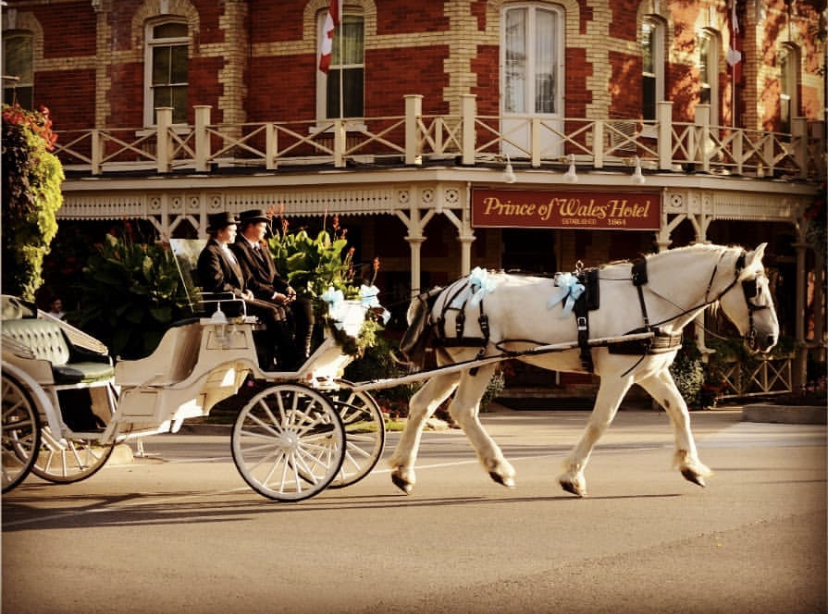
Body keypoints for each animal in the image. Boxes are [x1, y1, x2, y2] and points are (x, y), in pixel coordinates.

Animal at [392, 243, 780, 498]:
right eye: (754, 286)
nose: (771, 337)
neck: (648, 298)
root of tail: (445, 291)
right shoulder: (619, 375)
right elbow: (600, 423)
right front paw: (572, 477)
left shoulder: (651, 373)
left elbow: (680, 412)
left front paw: (692, 467)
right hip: (479, 361)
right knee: (464, 410)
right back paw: (498, 468)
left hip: (452, 363)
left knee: (420, 405)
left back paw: (403, 472)